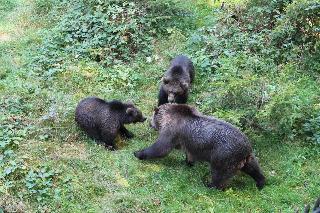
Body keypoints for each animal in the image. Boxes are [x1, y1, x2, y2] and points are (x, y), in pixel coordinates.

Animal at [134, 103, 266, 190]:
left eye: (152, 117)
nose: (149, 123)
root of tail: (245, 147)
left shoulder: (172, 130)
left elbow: (161, 148)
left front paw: (138, 153)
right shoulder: (187, 141)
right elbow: (189, 153)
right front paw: (188, 162)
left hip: (223, 155)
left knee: (219, 174)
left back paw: (209, 184)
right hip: (246, 157)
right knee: (254, 168)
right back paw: (260, 182)